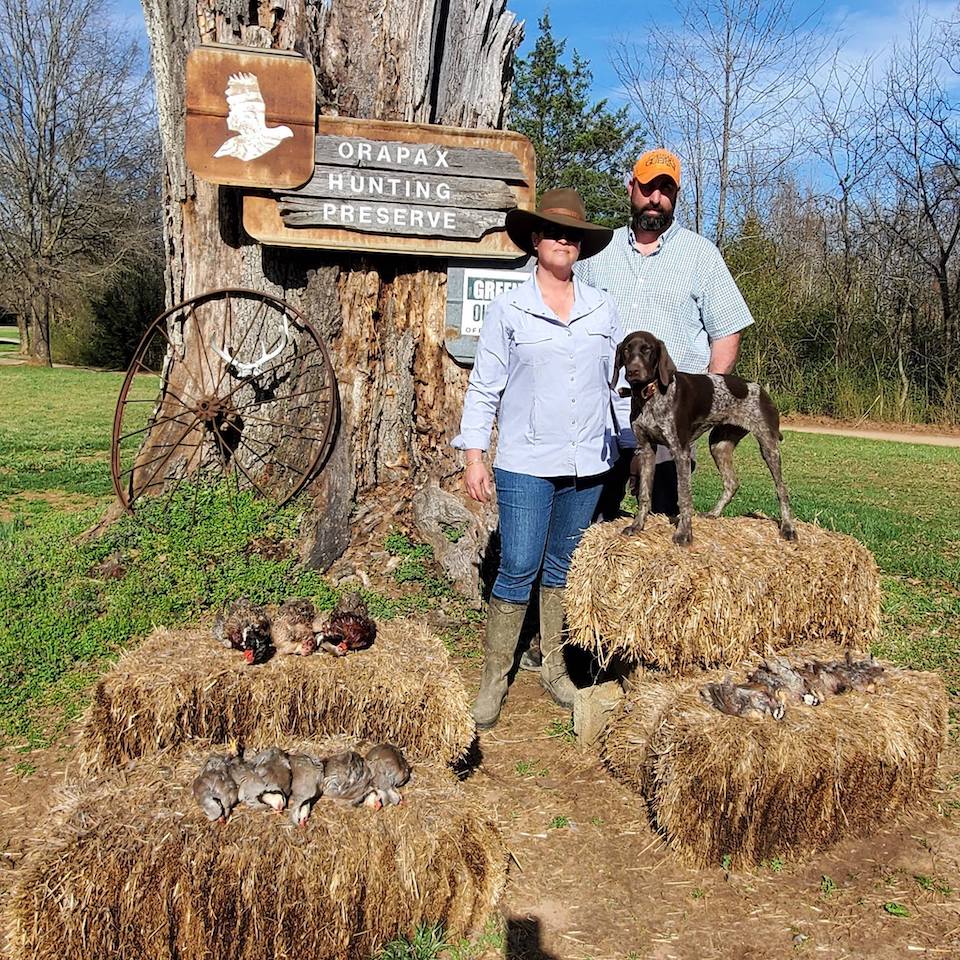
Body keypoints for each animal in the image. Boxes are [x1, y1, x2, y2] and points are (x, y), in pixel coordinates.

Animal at [612, 330, 800, 544]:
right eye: (627, 350)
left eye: (647, 350)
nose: (633, 371)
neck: (650, 395)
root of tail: (760, 389)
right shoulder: (645, 449)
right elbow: (644, 494)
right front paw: (637, 525)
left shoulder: (680, 451)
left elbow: (684, 496)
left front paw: (684, 533)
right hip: (719, 446)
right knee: (732, 483)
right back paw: (714, 514)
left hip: (768, 446)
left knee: (782, 489)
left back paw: (788, 527)